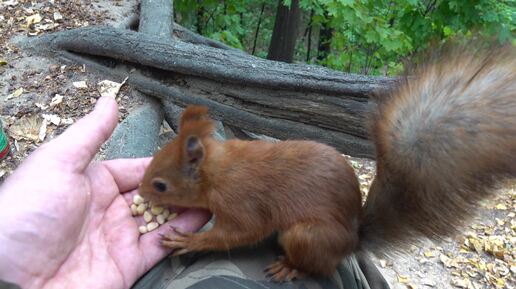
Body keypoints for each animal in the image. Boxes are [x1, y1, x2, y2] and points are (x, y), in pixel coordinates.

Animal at [138, 44, 516, 280]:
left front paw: (188, 242)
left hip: (306, 235)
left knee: (320, 267)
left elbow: (241, 232)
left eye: (161, 185)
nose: (141, 193)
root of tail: (352, 240)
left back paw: (293, 269)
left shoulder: (242, 201)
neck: (218, 171)